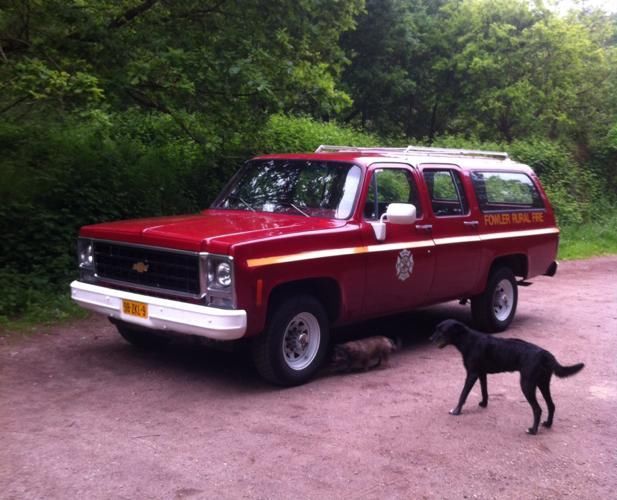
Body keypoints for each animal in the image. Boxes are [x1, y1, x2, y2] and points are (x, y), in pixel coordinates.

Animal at [428, 320, 584, 434]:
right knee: (551, 405)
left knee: (537, 409)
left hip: (527, 384)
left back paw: (533, 430)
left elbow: (463, 394)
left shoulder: (472, 374)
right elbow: (484, 391)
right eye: (436, 328)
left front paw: (456, 411)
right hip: (543, 383)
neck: (468, 340)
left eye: (441, 331)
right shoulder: (481, 373)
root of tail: (545, 354)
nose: (430, 339)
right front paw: (483, 404)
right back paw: (548, 424)